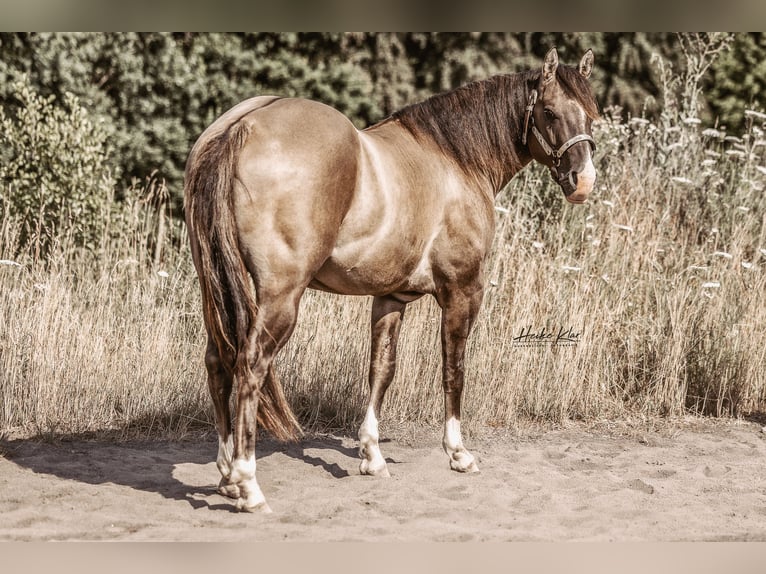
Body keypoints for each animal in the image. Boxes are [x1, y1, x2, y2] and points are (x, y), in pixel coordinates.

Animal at [184, 47, 599, 512]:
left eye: (591, 114)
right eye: (549, 112)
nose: (583, 181)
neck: (454, 158)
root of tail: (243, 126)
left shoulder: (390, 297)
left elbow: (381, 369)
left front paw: (372, 455)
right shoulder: (462, 291)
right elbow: (453, 368)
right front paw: (458, 453)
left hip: (216, 289)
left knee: (218, 361)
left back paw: (225, 474)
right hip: (279, 297)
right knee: (250, 365)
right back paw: (247, 485)